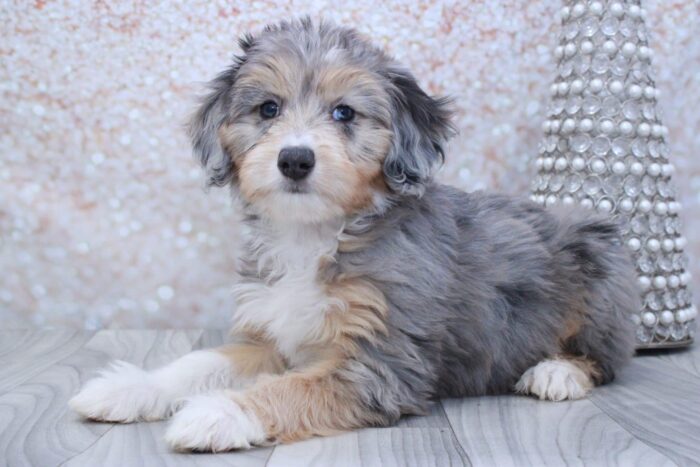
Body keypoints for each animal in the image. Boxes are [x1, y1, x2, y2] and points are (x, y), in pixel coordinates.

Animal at [71, 19, 640, 454]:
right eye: (268, 109)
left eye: (344, 113)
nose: (295, 159)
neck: (316, 234)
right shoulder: (272, 334)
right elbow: (200, 362)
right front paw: (131, 388)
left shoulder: (380, 363)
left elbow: (289, 391)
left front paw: (216, 414)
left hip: (600, 277)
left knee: (607, 358)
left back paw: (555, 373)